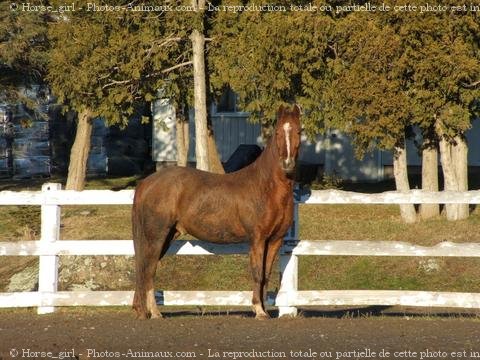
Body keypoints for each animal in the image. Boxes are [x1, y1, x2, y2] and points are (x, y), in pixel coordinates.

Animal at [132, 105, 300, 320]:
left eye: (298, 131)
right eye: (278, 132)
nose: (287, 164)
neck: (266, 187)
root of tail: (146, 183)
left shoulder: (275, 240)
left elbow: (266, 275)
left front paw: (263, 309)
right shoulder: (258, 239)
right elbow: (257, 273)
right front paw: (259, 310)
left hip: (167, 236)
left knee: (144, 269)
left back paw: (144, 310)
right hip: (156, 236)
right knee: (148, 270)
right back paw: (154, 312)